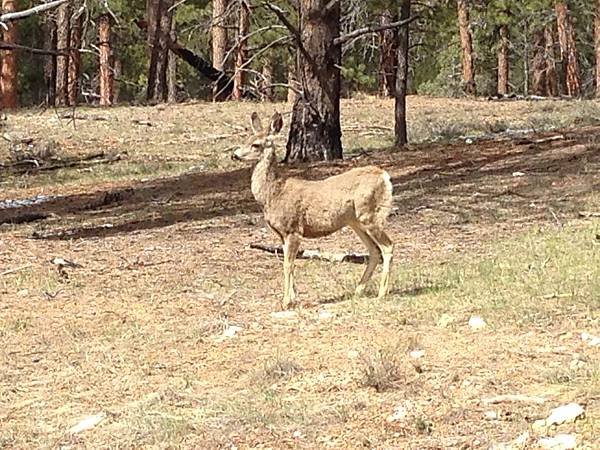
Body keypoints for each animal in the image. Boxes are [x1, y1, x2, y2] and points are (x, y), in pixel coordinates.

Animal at [234, 112, 394, 310]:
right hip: (356, 221)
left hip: (371, 215)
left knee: (387, 246)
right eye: (246, 139)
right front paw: (293, 298)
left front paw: (286, 301)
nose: (235, 155)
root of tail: (384, 176)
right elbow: (288, 263)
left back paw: (381, 294)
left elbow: (288, 265)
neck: (274, 194)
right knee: (374, 251)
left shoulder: (293, 229)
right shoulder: (281, 234)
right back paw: (358, 291)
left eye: (256, 144)